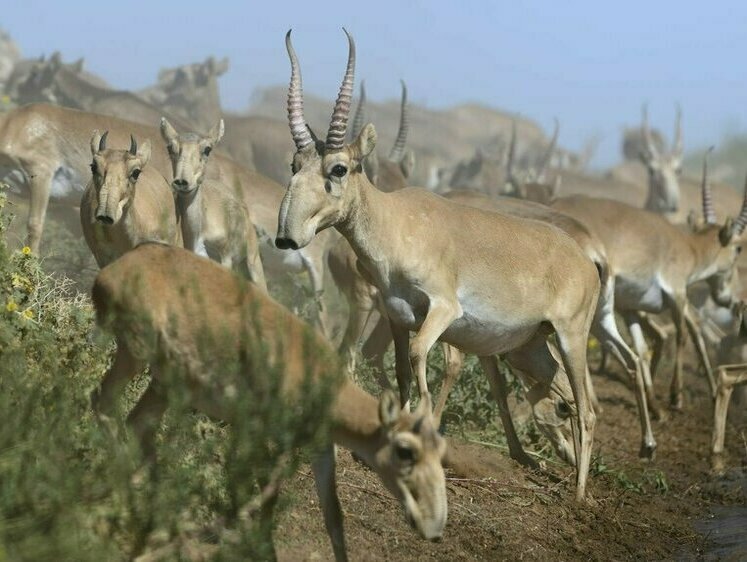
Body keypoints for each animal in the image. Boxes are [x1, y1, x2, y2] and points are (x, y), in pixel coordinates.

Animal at [90, 244, 448, 560]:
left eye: (440, 452)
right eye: (405, 450)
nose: (434, 526)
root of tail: (113, 270)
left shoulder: (321, 448)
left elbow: (333, 516)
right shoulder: (263, 435)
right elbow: (265, 495)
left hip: (165, 385)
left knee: (137, 424)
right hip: (135, 356)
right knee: (103, 401)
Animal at [276, 28, 600, 496]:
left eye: (339, 168)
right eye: (294, 163)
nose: (287, 235)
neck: (397, 221)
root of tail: (587, 262)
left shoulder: (443, 311)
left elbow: (419, 362)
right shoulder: (396, 317)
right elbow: (401, 371)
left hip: (571, 335)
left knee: (588, 406)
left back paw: (579, 494)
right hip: (529, 346)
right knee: (560, 390)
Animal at [552, 151, 744, 410]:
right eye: (738, 248)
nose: (730, 299)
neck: (688, 247)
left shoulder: (630, 306)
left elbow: (646, 345)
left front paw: (655, 400)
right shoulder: (676, 292)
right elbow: (683, 334)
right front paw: (676, 397)